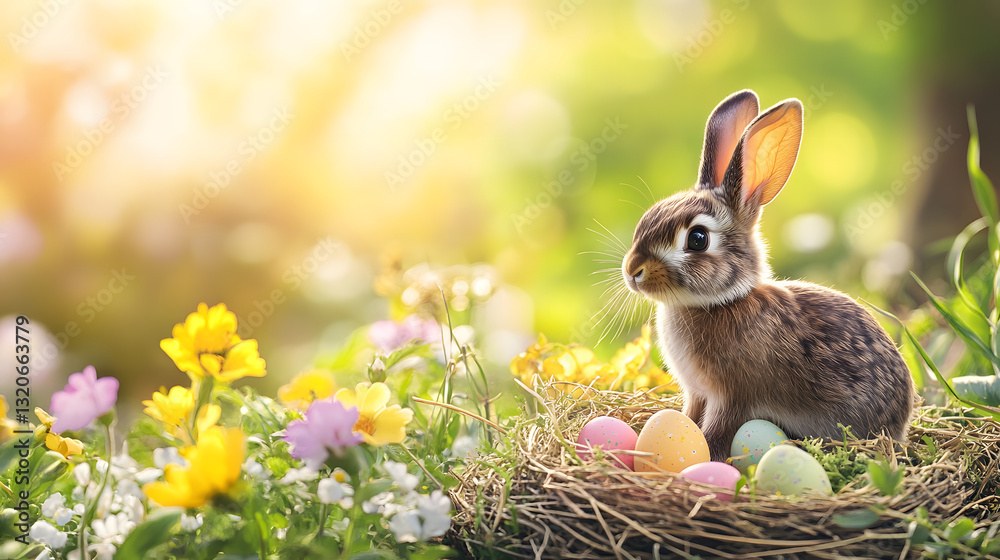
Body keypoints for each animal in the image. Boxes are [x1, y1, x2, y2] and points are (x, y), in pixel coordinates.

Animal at [622, 89, 915, 462]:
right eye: (648, 216)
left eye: (698, 239)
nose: (632, 271)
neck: (718, 302)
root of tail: (902, 419)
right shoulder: (698, 393)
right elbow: (688, 416)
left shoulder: (734, 398)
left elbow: (716, 433)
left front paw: (708, 459)